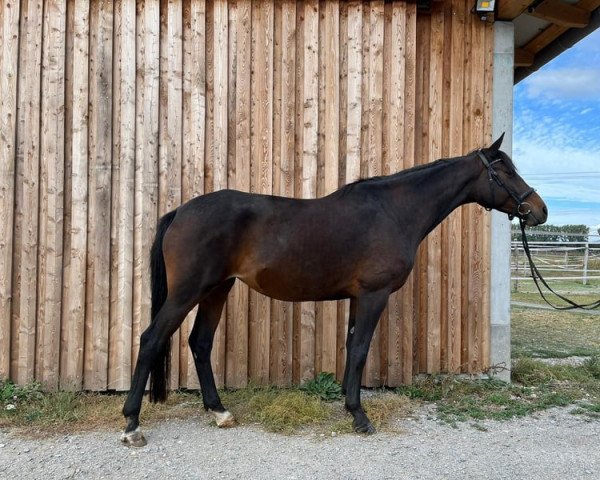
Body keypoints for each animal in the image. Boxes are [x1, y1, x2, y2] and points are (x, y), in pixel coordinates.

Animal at [122, 132, 548, 446]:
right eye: (504, 171)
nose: (539, 211)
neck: (393, 211)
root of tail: (180, 211)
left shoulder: (359, 298)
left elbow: (350, 346)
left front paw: (349, 405)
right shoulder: (375, 294)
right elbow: (360, 350)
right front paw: (360, 417)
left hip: (217, 289)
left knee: (200, 343)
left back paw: (220, 412)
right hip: (188, 292)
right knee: (151, 339)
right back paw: (132, 426)